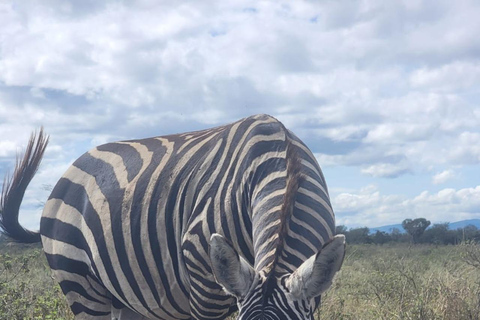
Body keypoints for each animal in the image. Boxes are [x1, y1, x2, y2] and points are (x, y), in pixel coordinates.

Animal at [0, 114, 344, 318]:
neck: (284, 161)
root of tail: (69, 169)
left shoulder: (311, 290)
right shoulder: (204, 283)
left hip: (126, 298)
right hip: (78, 280)